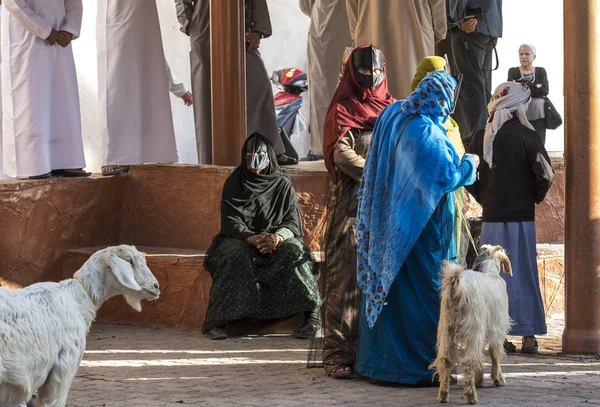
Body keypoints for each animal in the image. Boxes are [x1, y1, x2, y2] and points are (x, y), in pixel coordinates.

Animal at [432, 245, 510, 404]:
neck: (491, 272)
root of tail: (457, 286)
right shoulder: (497, 328)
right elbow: (494, 353)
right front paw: (498, 379)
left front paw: (480, 379)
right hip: (473, 328)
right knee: (469, 361)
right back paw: (471, 396)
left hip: (446, 329)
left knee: (445, 360)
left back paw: (443, 394)